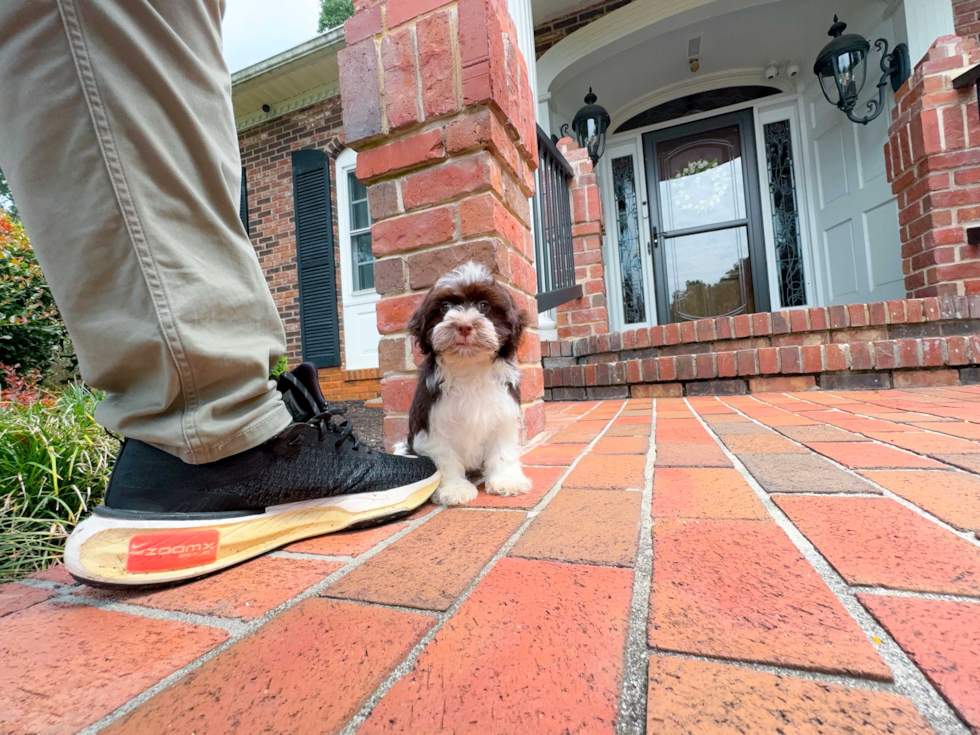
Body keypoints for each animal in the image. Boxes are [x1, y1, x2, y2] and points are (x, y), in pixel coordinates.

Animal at [402, 262, 532, 508]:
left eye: (484, 306)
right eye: (444, 307)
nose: (463, 326)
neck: (469, 367)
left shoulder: (503, 414)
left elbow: (503, 449)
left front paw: (506, 480)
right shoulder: (432, 422)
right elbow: (445, 458)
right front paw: (454, 489)